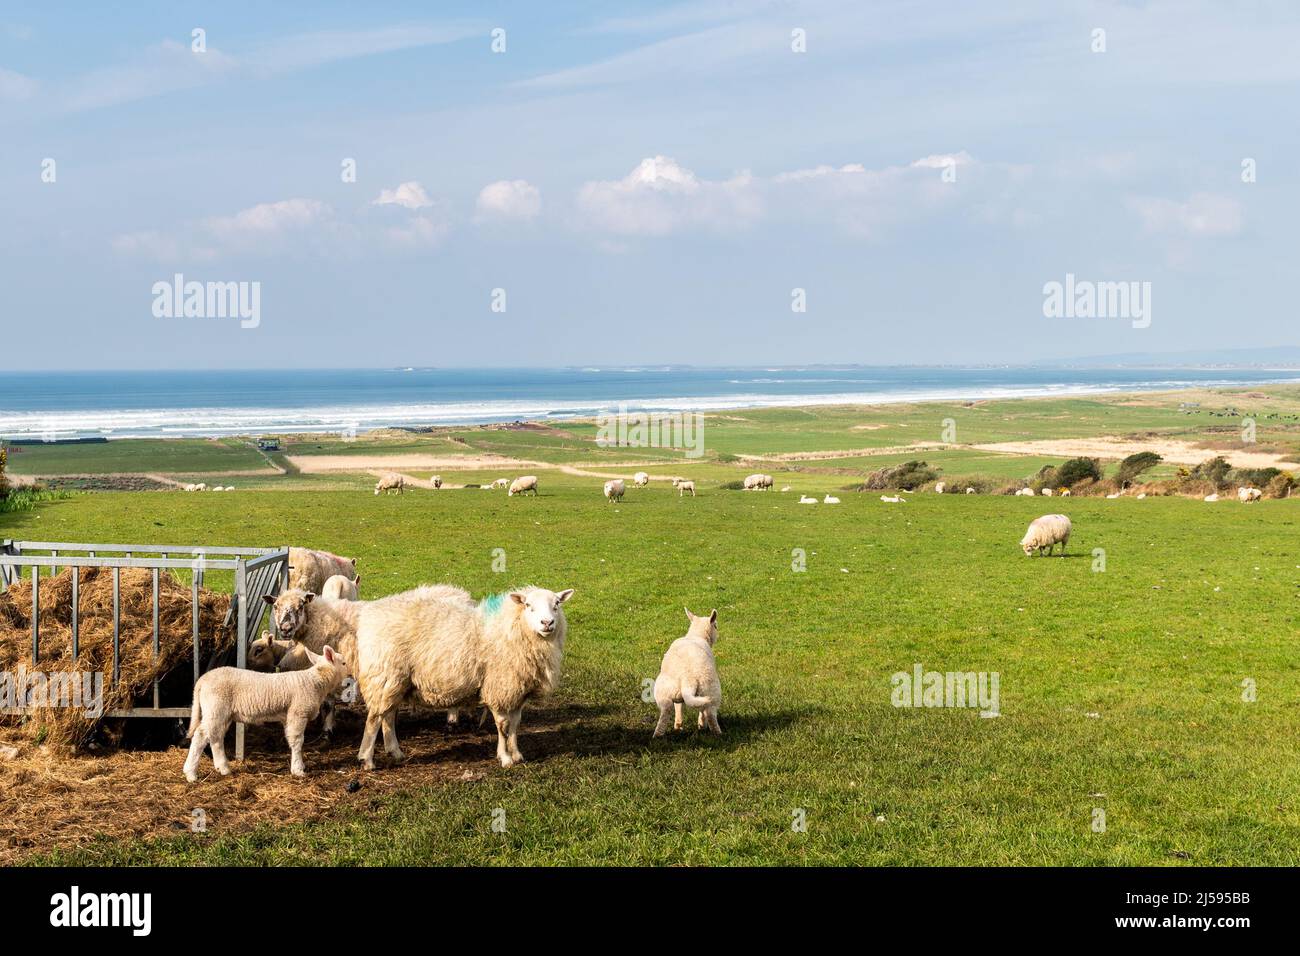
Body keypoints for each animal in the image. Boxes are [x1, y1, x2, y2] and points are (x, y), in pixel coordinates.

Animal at [180, 642, 351, 785]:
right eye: (343, 663)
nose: (351, 675)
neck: (315, 681)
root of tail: (202, 680)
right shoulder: (298, 713)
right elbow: (297, 741)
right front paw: (298, 769)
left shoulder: (288, 716)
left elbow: (291, 738)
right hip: (215, 708)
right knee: (201, 736)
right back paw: (191, 773)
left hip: (222, 712)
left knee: (216, 737)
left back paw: (223, 768)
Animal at [356, 582, 579, 770]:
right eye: (528, 605)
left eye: (557, 604)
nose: (547, 623)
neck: (512, 628)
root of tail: (368, 616)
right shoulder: (498, 687)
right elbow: (503, 726)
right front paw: (505, 758)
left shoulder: (518, 691)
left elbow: (515, 724)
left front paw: (516, 754)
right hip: (385, 674)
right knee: (374, 718)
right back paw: (367, 760)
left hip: (395, 682)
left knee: (387, 715)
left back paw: (395, 752)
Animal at [650, 606, 722, 738]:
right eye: (716, 626)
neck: (696, 635)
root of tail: (688, 679)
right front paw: (701, 725)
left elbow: (679, 706)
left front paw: (679, 725)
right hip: (711, 691)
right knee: (709, 713)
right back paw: (716, 733)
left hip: (667, 692)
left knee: (666, 711)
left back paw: (659, 736)